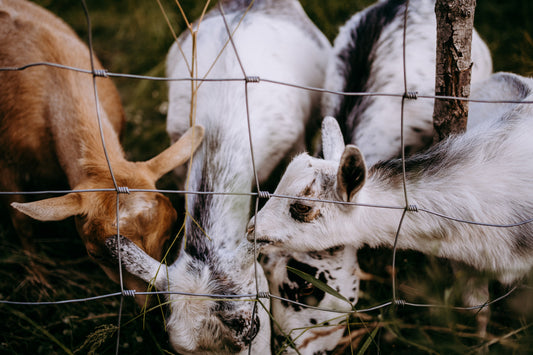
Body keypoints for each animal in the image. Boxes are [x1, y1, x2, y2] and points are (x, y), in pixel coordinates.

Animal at [0, 0, 204, 300]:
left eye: (170, 233)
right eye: (94, 254)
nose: (149, 305)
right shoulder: (7, 161)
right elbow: (21, 221)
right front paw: (40, 278)